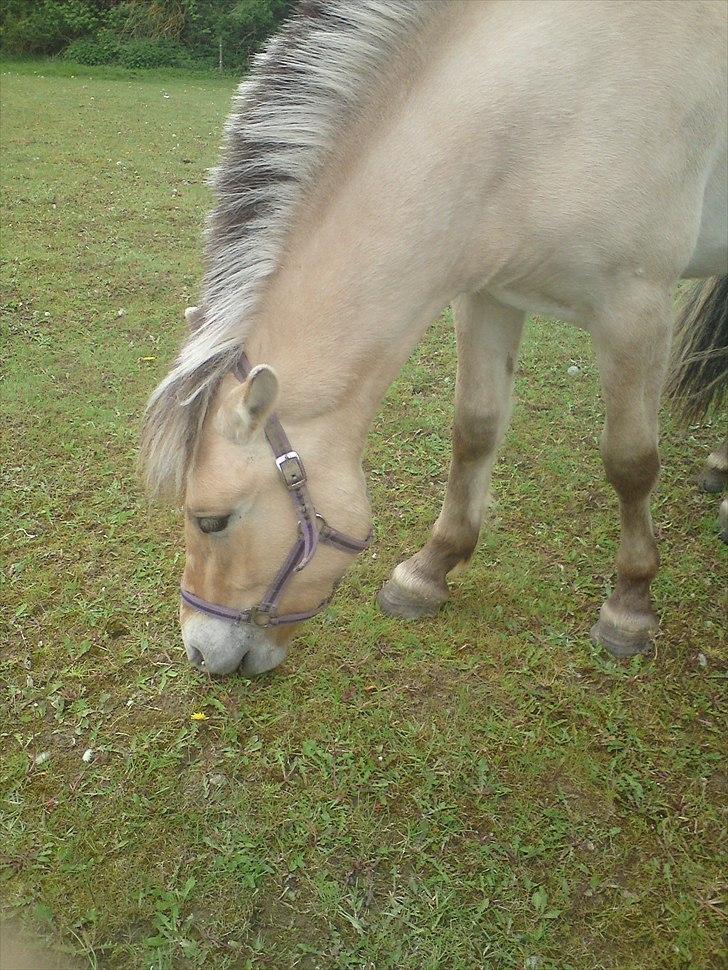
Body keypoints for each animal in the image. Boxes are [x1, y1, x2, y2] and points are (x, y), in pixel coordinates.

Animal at [139, 1, 724, 672]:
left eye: (211, 521)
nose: (199, 652)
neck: (543, 113)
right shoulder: (489, 297)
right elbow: (474, 432)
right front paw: (428, 571)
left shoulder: (636, 308)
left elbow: (630, 463)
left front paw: (629, 605)